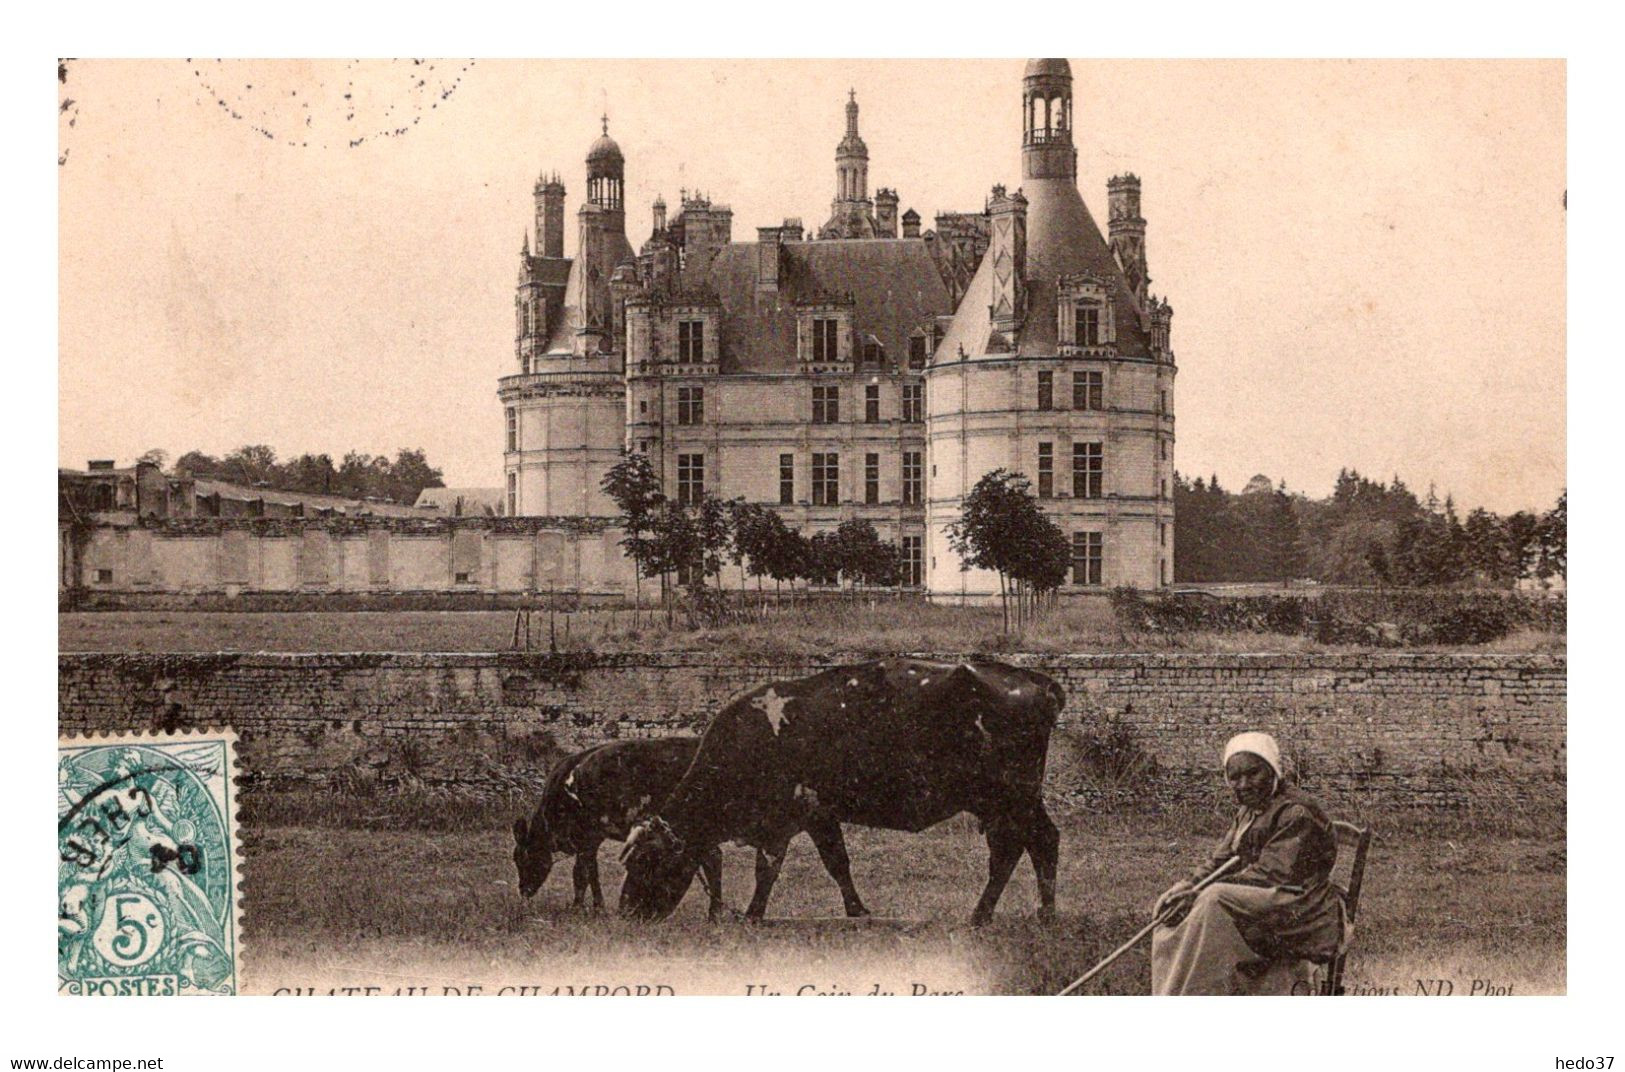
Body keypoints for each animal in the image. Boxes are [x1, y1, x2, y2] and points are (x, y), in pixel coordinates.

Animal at [614, 656, 1059, 922]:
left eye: (646, 862)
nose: (626, 912)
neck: (753, 740)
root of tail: (1039, 682)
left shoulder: (793, 819)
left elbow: (779, 869)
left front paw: (755, 915)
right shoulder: (810, 818)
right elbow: (826, 865)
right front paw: (854, 909)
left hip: (1008, 801)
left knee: (1013, 851)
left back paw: (985, 915)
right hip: (1015, 802)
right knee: (1041, 842)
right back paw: (1043, 912)